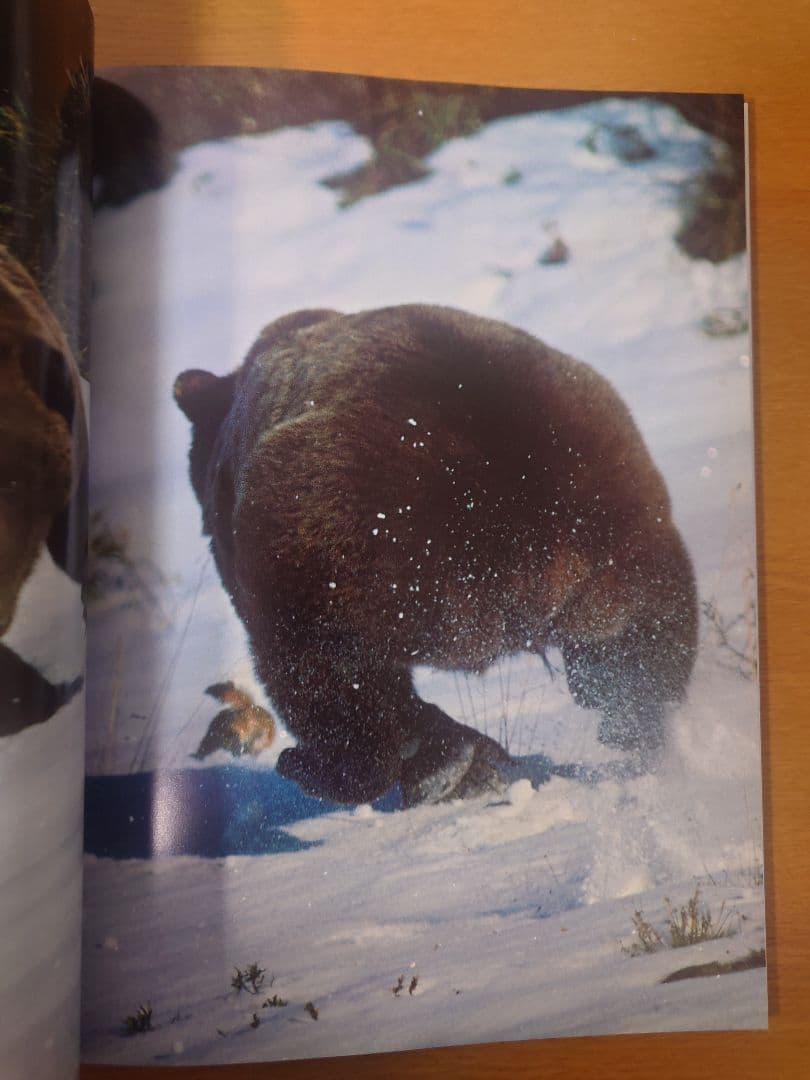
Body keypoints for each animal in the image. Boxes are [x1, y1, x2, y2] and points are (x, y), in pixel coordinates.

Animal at [174, 304, 698, 806]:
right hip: (617, 509)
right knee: (646, 635)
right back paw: (627, 721)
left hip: (339, 532)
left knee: (321, 667)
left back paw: (321, 765)